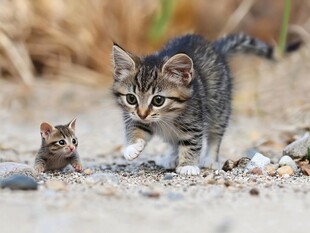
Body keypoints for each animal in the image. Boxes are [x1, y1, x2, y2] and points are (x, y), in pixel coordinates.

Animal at [112, 32, 274, 175]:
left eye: (158, 100)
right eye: (131, 99)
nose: (142, 114)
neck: (167, 117)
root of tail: (216, 48)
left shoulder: (194, 122)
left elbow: (191, 144)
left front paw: (187, 165)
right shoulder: (134, 116)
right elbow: (136, 127)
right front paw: (133, 147)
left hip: (219, 108)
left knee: (215, 135)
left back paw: (210, 159)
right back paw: (172, 157)